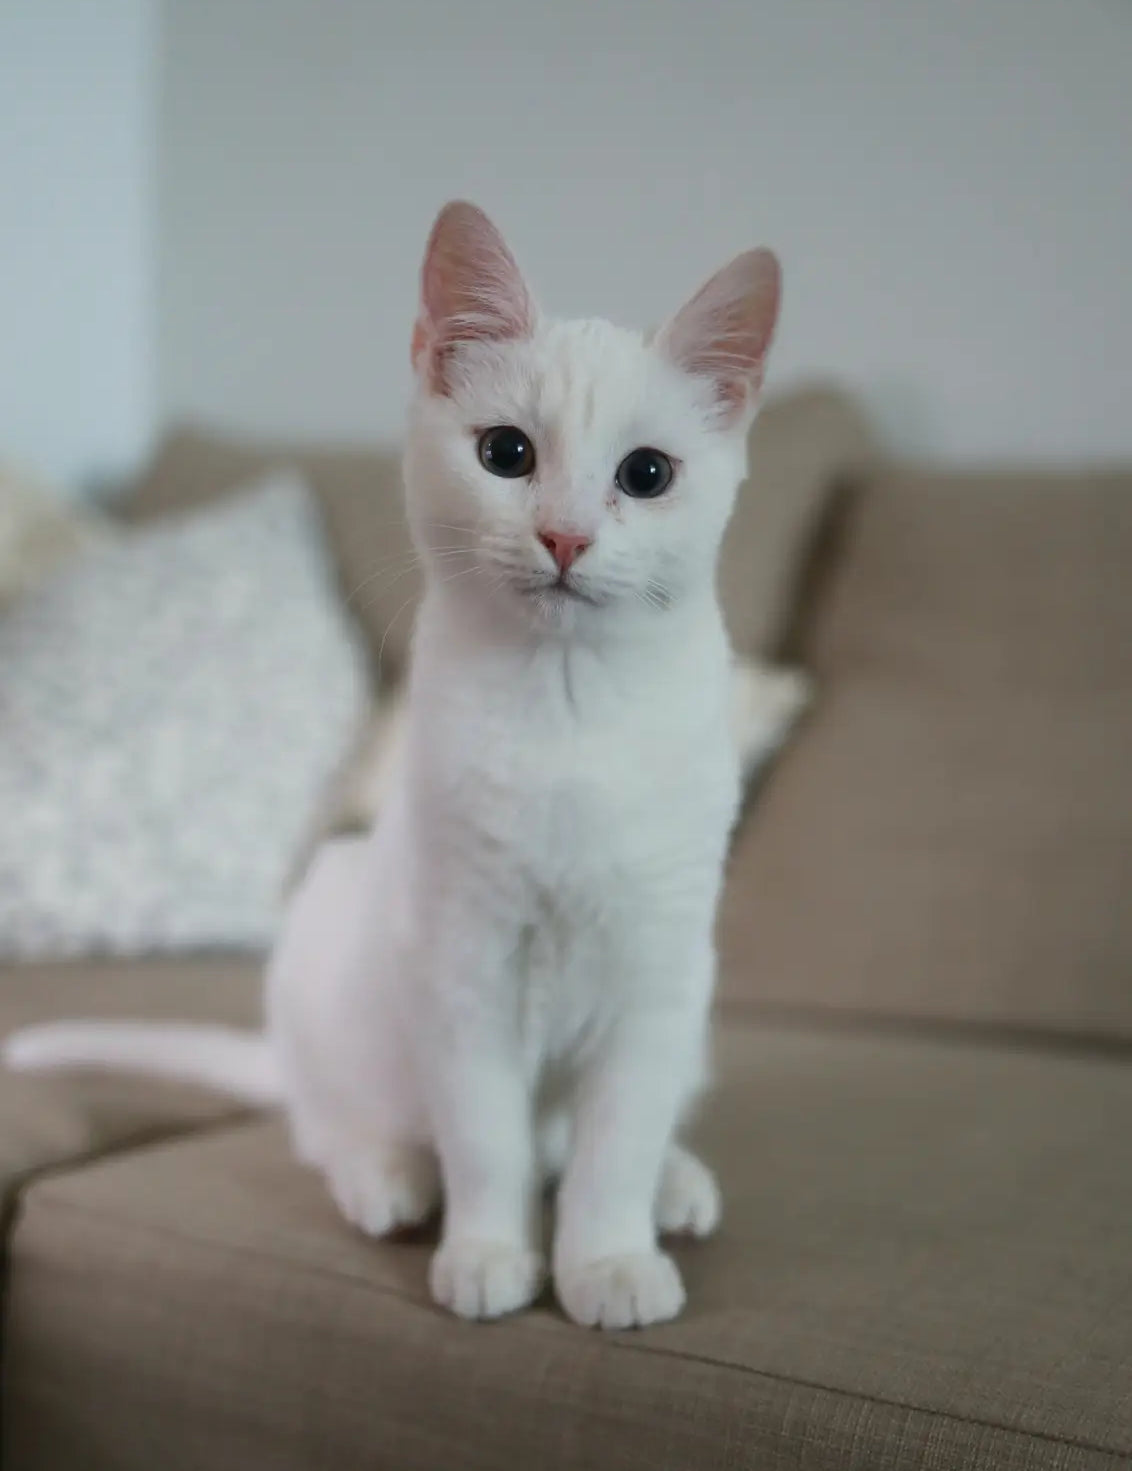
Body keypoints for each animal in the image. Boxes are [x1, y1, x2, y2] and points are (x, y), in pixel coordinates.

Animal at [8, 204, 782, 1335]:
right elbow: (490, 1143)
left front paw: (607, 1259)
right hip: (327, 944)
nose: (564, 534)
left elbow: (613, 1150)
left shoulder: (655, 973)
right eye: (506, 453)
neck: (568, 710)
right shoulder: (461, 967)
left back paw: (677, 1185)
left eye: (647, 474)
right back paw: (388, 1177)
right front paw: (492, 1252)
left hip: (696, 1008)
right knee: (329, 1126)